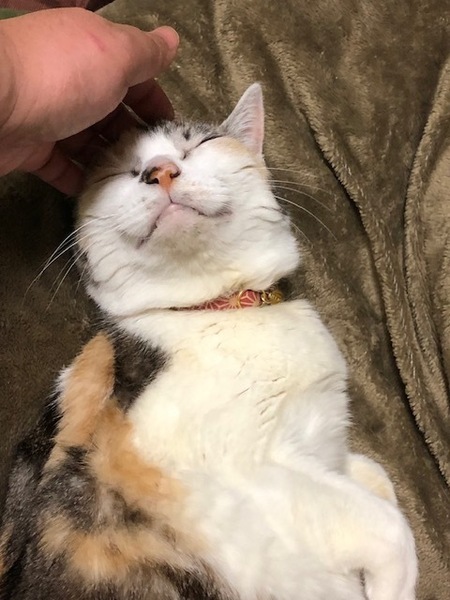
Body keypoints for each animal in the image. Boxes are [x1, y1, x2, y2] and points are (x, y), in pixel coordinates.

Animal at [0, 83, 417, 600]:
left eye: (198, 145)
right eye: (122, 172)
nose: (160, 170)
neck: (220, 310)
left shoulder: (322, 447)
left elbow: (376, 478)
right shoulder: (228, 479)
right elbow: (389, 526)